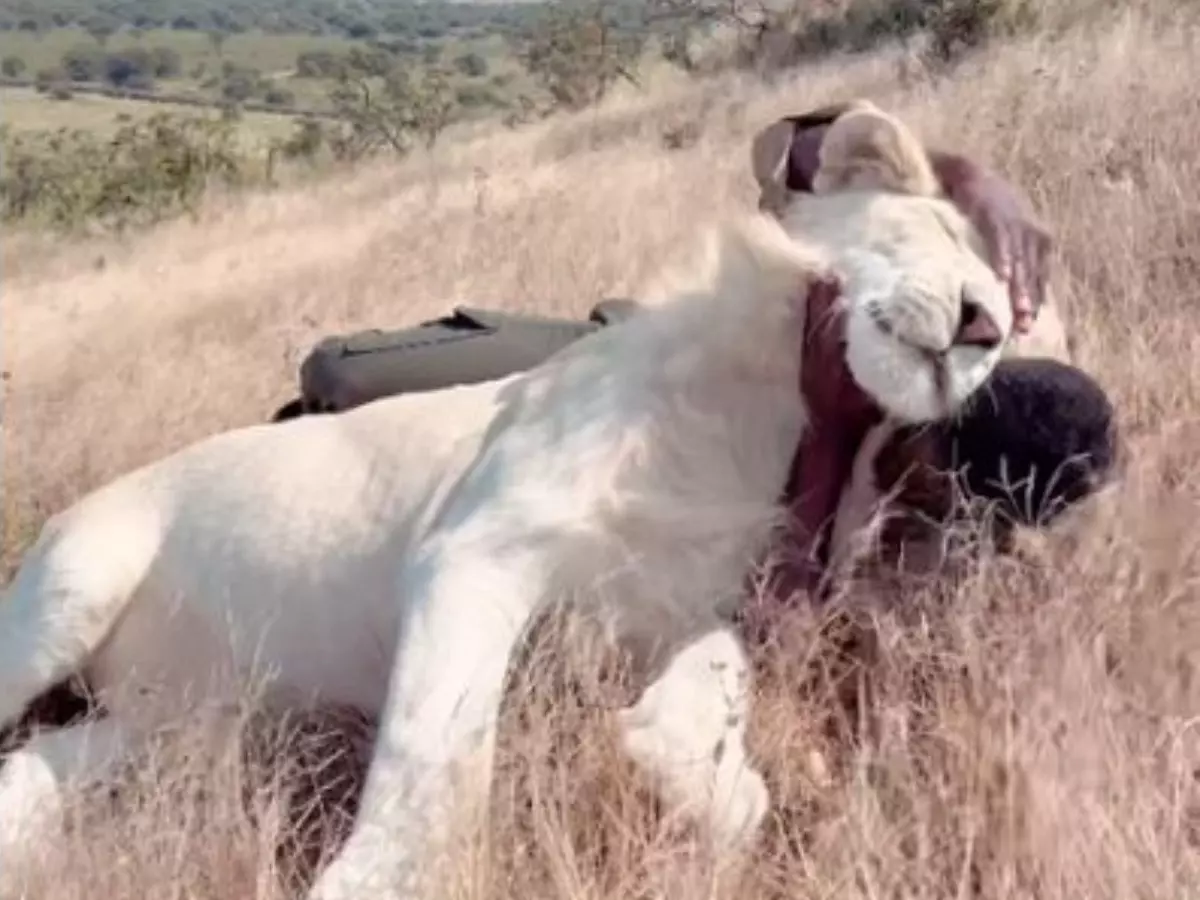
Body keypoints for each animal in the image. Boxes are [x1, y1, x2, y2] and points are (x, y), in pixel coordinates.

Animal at [0, 105, 1013, 900]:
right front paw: (382, 884)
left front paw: (696, 776)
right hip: (74, 586)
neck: (759, 410)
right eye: (940, 234)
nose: (986, 327)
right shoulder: (473, 551)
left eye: (1006, 303)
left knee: (33, 769)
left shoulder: (674, 605)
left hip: (168, 732)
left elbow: (713, 715)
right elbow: (438, 756)